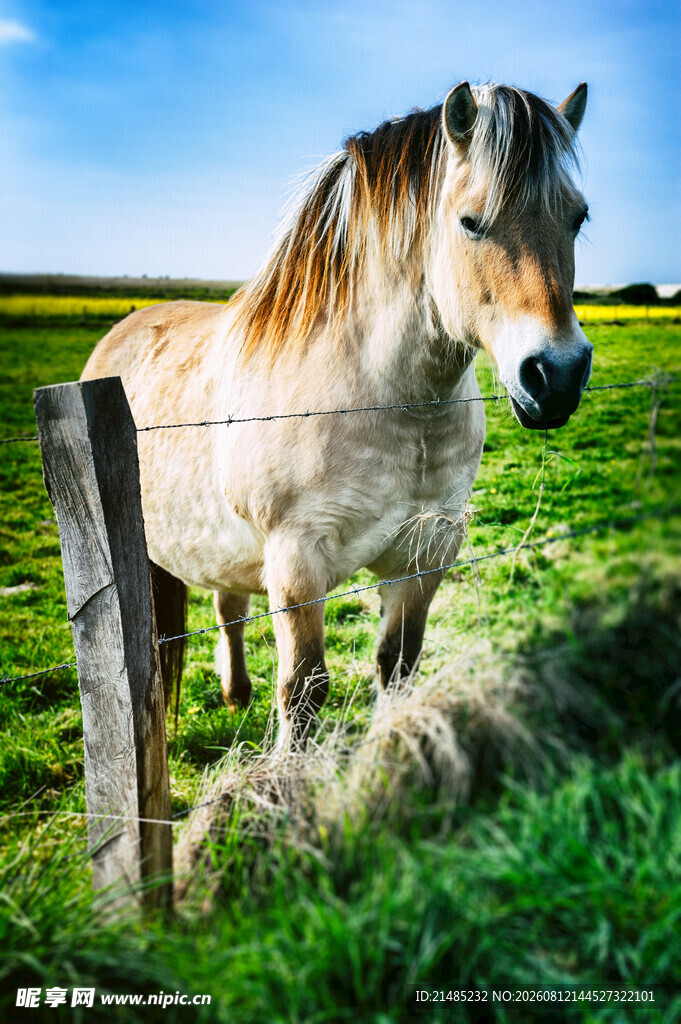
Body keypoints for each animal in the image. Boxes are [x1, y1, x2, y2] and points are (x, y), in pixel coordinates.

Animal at [82, 80, 593, 748]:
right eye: (470, 222)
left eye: (579, 218)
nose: (556, 376)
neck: (386, 399)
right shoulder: (297, 564)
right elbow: (303, 691)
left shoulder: (425, 553)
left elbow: (397, 664)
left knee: (227, 606)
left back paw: (235, 694)